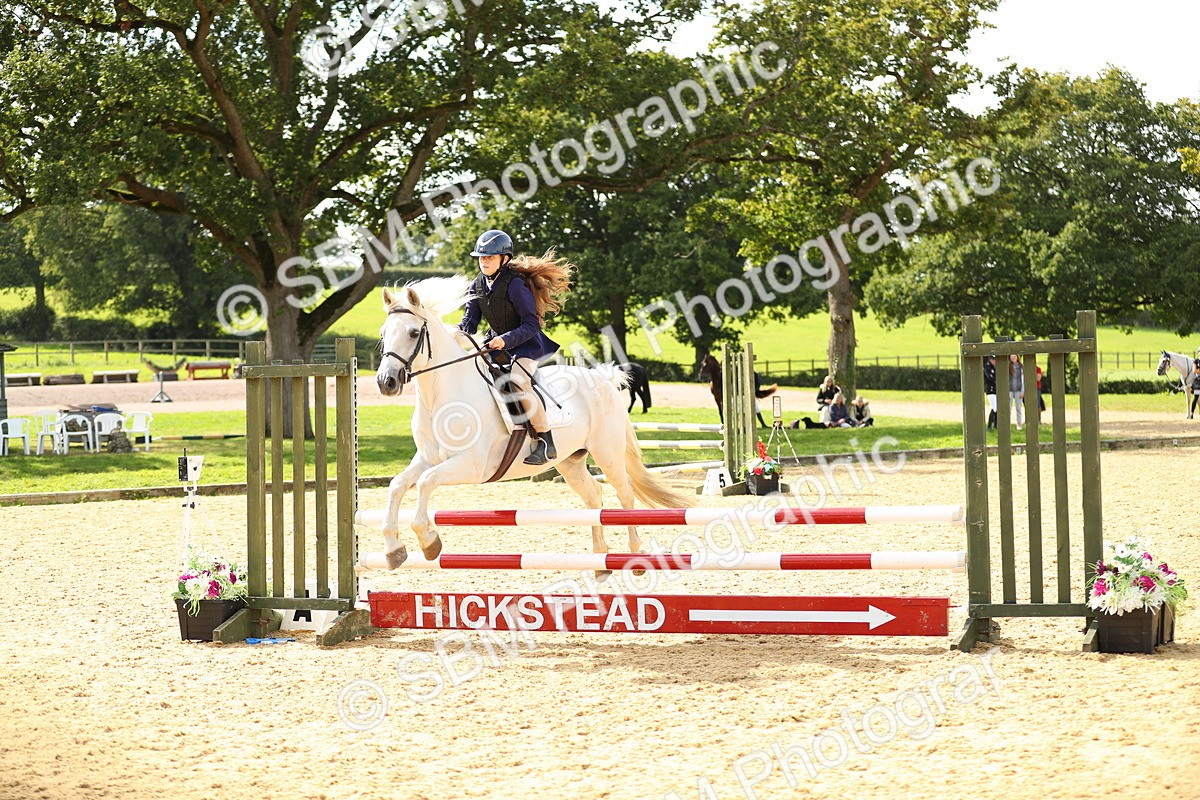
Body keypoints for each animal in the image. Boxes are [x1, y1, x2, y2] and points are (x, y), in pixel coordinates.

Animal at [374, 276, 692, 570]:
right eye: (383, 333)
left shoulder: (471, 465)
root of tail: (603, 379)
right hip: (570, 461)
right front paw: (392, 549)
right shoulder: (428, 458)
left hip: (608, 454)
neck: (441, 397)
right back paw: (600, 560)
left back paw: (634, 554)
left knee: (624, 493)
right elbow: (398, 485)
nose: (386, 383)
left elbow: (425, 483)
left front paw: (429, 542)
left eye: (414, 332)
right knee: (593, 495)